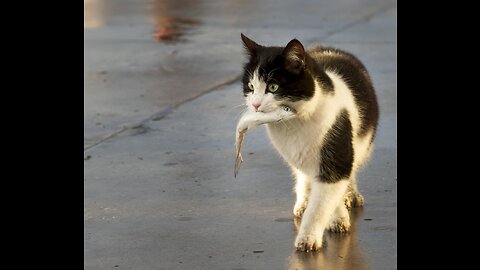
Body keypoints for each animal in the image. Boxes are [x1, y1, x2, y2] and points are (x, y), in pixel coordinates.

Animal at [240, 33, 378, 251]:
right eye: (251, 87)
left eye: (273, 87)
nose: (255, 104)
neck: (296, 123)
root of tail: (325, 48)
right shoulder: (299, 154)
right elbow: (320, 192)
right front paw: (336, 217)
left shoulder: (335, 155)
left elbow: (322, 203)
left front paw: (308, 237)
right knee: (304, 176)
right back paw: (304, 200)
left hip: (362, 143)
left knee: (353, 165)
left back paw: (351, 194)